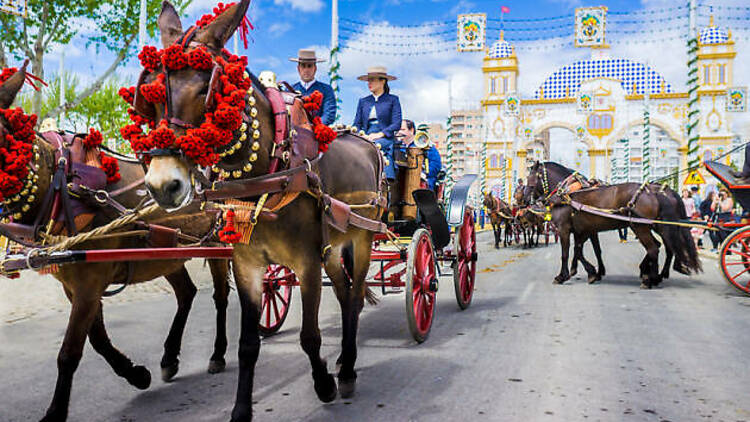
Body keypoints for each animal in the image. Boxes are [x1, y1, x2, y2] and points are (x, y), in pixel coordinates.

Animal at [0, 66, 232, 422]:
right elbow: (97, 340)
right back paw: (169, 358)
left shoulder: (90, 281)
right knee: (186, 293)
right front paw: (136, 374)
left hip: (218, 243)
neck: (60, 186)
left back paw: (218, 354)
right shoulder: (76, 282)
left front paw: (55, 412)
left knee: (220, 297)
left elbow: (69, 352)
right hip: (165, 251)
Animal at [142, 2, 388, 418]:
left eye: (206, 90)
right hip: (333, 248)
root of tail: (367, 141)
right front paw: (242, 409)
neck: (267, 174)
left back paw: (347, 371)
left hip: (362, 238)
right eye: (155, 94)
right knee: (343, 295)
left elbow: (309, 336)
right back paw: (343, 359)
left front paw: (324, 385)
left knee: (353, 298)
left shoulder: (307, 262)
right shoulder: (248, 264)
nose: (163, 184)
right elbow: (248, 345)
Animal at [524, 161, 704, 286]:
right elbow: (582, 251)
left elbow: (566, 253)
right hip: (654, 226)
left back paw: (650, 279)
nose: (525, 199)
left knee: (655, 248)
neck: (567, 193)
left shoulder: (564, 229)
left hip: (641, 227)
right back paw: (655, 274)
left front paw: (563, 275)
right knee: (665, 247)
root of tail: (652, 191)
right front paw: (592, 272)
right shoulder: (585, 230)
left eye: (529, 179)